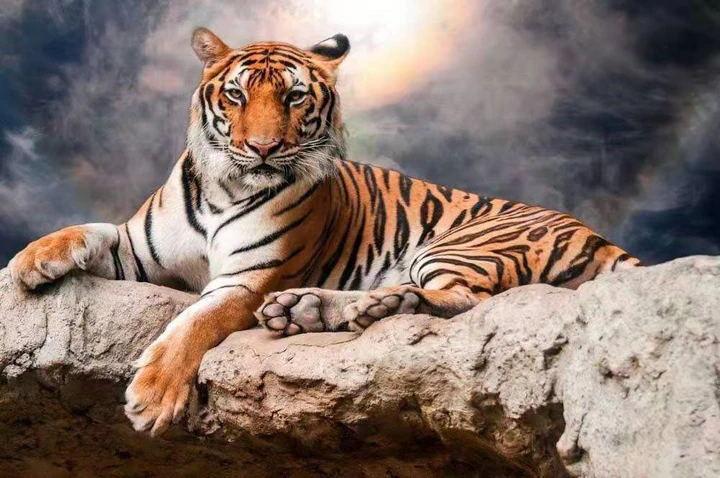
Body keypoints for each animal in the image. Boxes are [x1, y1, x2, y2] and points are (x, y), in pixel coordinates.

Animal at [7, 28, 639, 437]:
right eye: (235, 94)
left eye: (293, 97)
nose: (262, 148)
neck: (223, 187)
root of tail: (592, 231)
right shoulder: (141, 250)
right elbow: (91, 229)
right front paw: (30, 261)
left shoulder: (250, 280)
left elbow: (194, 323)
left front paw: (153, 396)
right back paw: (308, 311)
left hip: (458, 245)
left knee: (459, 300)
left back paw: (358, 308)